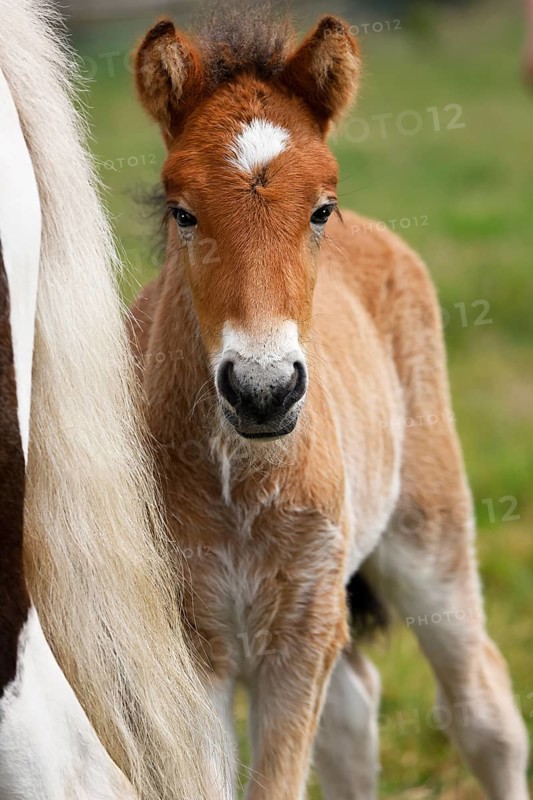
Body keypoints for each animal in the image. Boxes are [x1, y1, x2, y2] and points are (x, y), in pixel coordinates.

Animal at [130, 8, 530, 800]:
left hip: (427, 532)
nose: (263, 389)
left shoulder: (301, 635)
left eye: (321, 209)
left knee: (482, 708)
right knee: (354, 712)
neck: (241, 484)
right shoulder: (191, 647)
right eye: (183, 213)